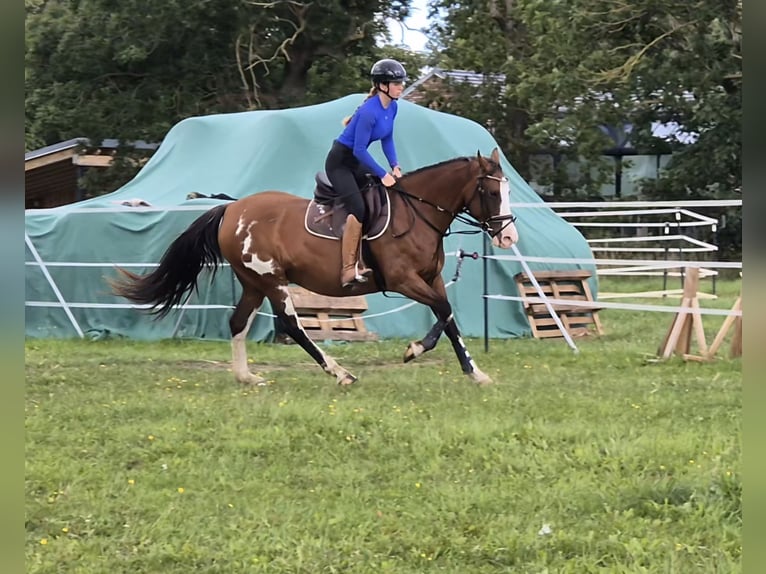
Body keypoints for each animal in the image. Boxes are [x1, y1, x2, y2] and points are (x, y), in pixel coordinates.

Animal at [110, 148, 519, 386]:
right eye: (491, 192)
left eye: (508, 189)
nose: (508, 237)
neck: (417, 212)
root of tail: (231, 208)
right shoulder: (403, 280)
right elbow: (444, 310)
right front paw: (414, 350)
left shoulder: (431, 278)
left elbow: (448, 317)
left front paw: (475, 372)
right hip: (272, 281)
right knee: (293, 326)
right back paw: (340, 373)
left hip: (254, 282)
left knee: (238, 322)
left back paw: (246, 377)